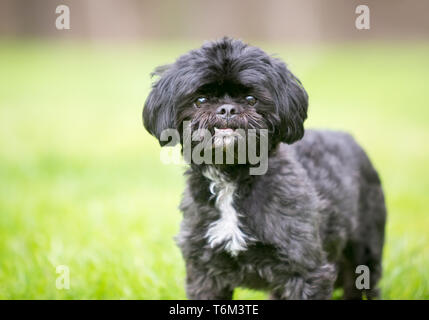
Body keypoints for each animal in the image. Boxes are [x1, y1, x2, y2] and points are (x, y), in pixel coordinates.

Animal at [142, 37, 386, 300]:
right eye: (201, 100)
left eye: (251, 99)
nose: (227, 109)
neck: (232, 178)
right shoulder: (204, 271)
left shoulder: (304, 270)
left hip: (365, 251)